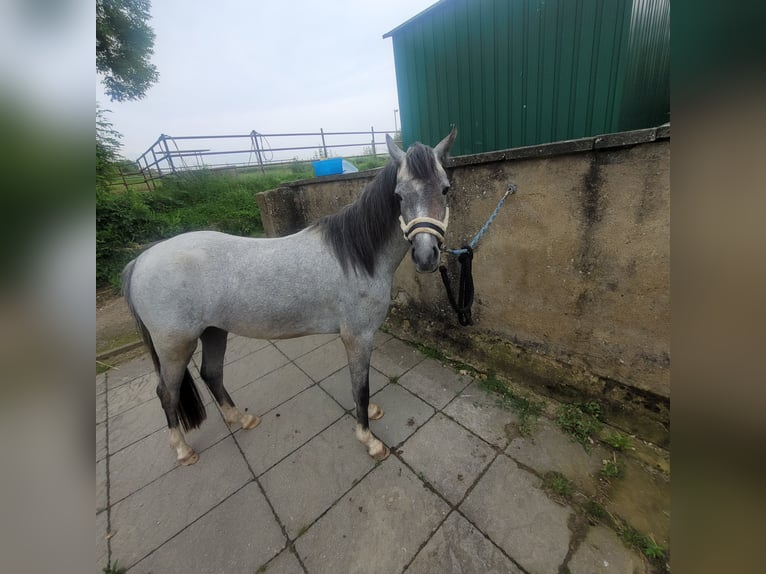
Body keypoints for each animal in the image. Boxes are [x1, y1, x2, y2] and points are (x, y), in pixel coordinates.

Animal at [121, 129, 456, 468]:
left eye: (445, 189)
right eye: (399, 196)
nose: (426, 256)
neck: (357, 256)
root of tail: (140, 261)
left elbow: (360, 383)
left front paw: (371, 413)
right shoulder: (357, 337)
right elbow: (359, 386)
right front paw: (369, 439)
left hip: (214, 332)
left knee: (211, 374)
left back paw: (241, 419)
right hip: (175, 346)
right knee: (167, 392)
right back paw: (182, 449)